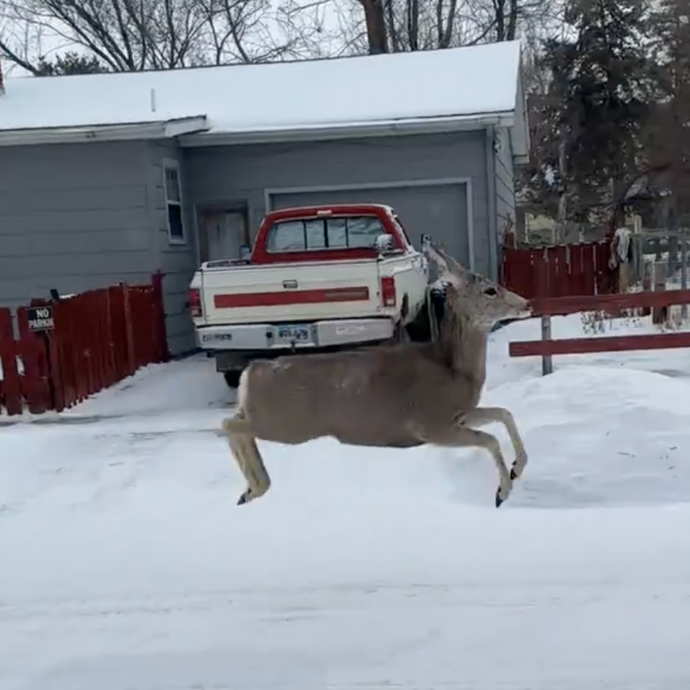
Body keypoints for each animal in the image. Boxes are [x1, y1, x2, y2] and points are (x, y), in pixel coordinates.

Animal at [220, 241, 528, 506]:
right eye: (490, 290)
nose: (526, 304)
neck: (453, 370)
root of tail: (250, 372)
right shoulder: (429, 423)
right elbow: (490, 439)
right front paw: (503, 491)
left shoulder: (459, 414)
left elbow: (504, 413)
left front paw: (517, 468)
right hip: (285, 424)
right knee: (228, 423)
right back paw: (256, 487)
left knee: (234, 421)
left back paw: (250, 491)